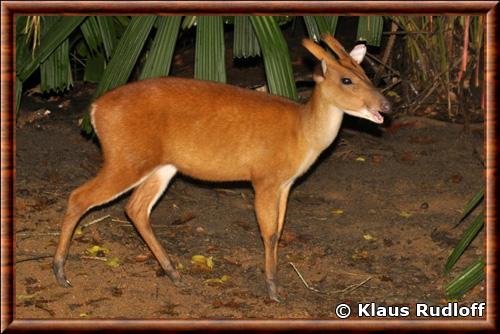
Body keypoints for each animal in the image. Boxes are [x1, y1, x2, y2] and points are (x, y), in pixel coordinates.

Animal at [53, 35, 390, 302]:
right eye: (346, 80)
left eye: (366, 73)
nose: (385, 105)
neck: (303, 131)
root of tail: (95, 110)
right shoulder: (264, 179)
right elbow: (269, 233)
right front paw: (273, 289)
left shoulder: (285, 184)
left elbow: (279, 231)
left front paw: (275, 283)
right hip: (126, 159)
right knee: (79, 197)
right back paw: (60, 271)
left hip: (161, 165)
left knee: (135, 208)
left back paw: (175, 274)